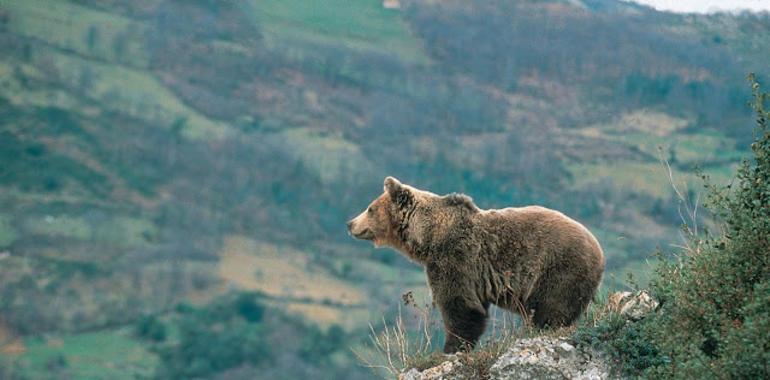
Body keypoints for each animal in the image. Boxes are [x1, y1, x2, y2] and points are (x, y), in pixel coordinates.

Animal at [344, 176, 604, 354]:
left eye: (369, 208)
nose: (350, 223)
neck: (428, 237)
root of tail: (599, 251)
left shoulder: (456, 258)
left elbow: (460, 305)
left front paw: (451, 348)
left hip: (559, 268)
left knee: (552, 309)